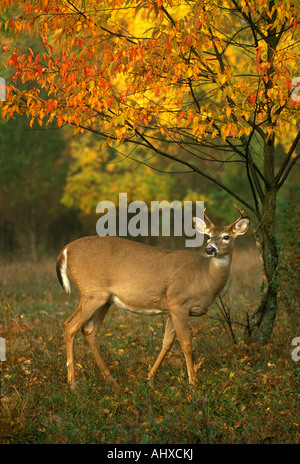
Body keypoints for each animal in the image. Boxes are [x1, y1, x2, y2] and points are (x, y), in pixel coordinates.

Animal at [55, 206, 248, 388]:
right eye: (208, 236)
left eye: (226, 237)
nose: (209, 249)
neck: (203, 277)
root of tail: (65, 250)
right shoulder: (178, 303)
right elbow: (186, 344)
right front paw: (193, 384)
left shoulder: (171, 309)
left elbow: (167, 343)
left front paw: (150, 378)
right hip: (92, 293)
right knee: (70, 326)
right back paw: (73, 384)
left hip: (105, 299)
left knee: (89, 331)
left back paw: (111, 381)